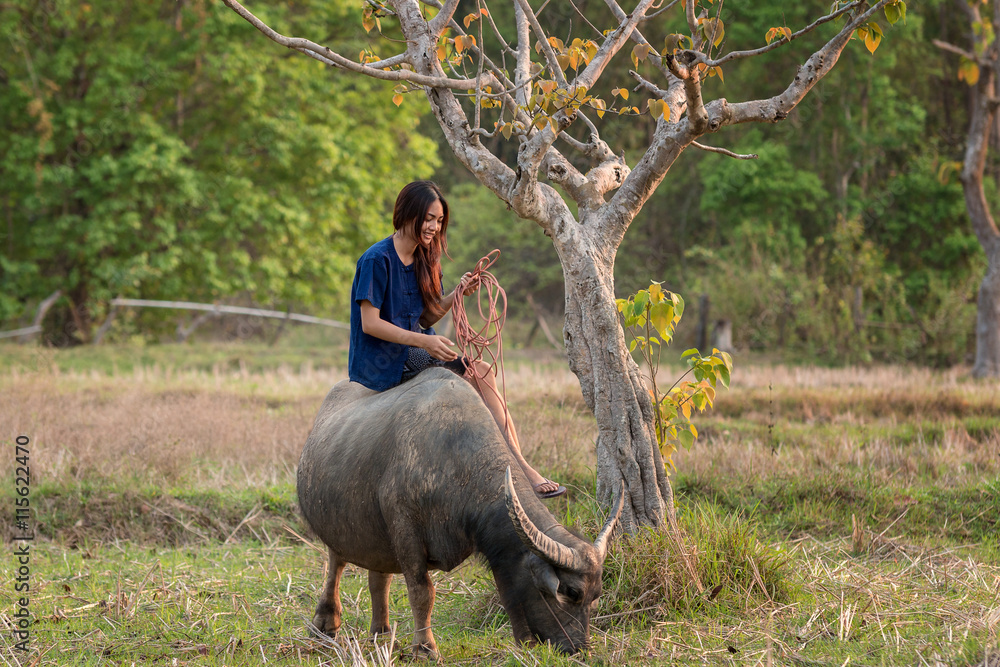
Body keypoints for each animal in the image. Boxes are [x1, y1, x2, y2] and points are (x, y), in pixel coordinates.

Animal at [292, 370, 620, 656]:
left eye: (596, 595)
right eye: (571, 592)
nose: (578, 649)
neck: (454, 459)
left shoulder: (498, 553)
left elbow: (508, 591)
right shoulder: (405, 528)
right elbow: (422, 591)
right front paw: (425, 649)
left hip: (377, 533)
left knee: (378, 576)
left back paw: (382, 633)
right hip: (337, 524)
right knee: (336, 563)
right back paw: (326, 624)